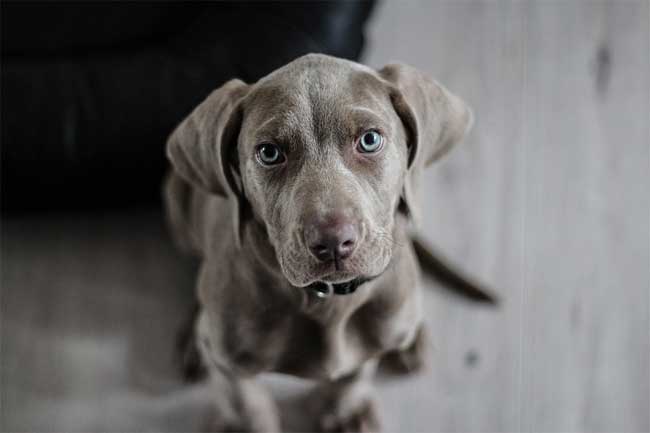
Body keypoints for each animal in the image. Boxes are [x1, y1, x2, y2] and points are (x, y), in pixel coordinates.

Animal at [165, 52, 474, 430]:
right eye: (269, 153)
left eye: (370, 140)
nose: (333, 242)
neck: (329, 301)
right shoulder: (228, 362)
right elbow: (246, 404)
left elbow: (355, 374)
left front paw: (345, 412)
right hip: (176, 201)